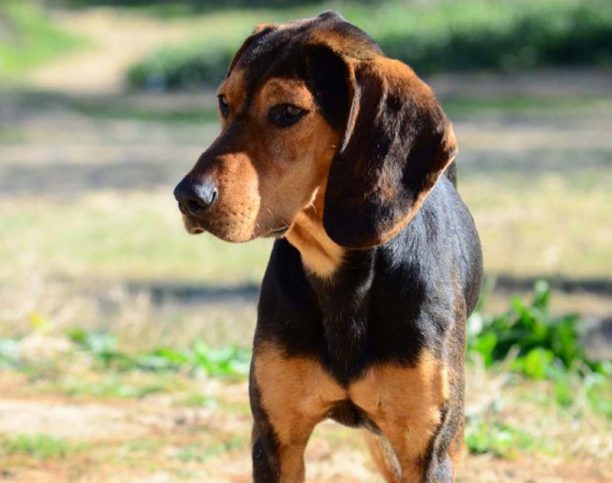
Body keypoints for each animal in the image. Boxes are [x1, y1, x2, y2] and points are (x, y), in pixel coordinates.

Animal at [173, 11, 482, 483]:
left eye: (287, 112)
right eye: (224, 103)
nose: (188, 197)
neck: (339, 275)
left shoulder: (426, 453)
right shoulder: (275, 439)